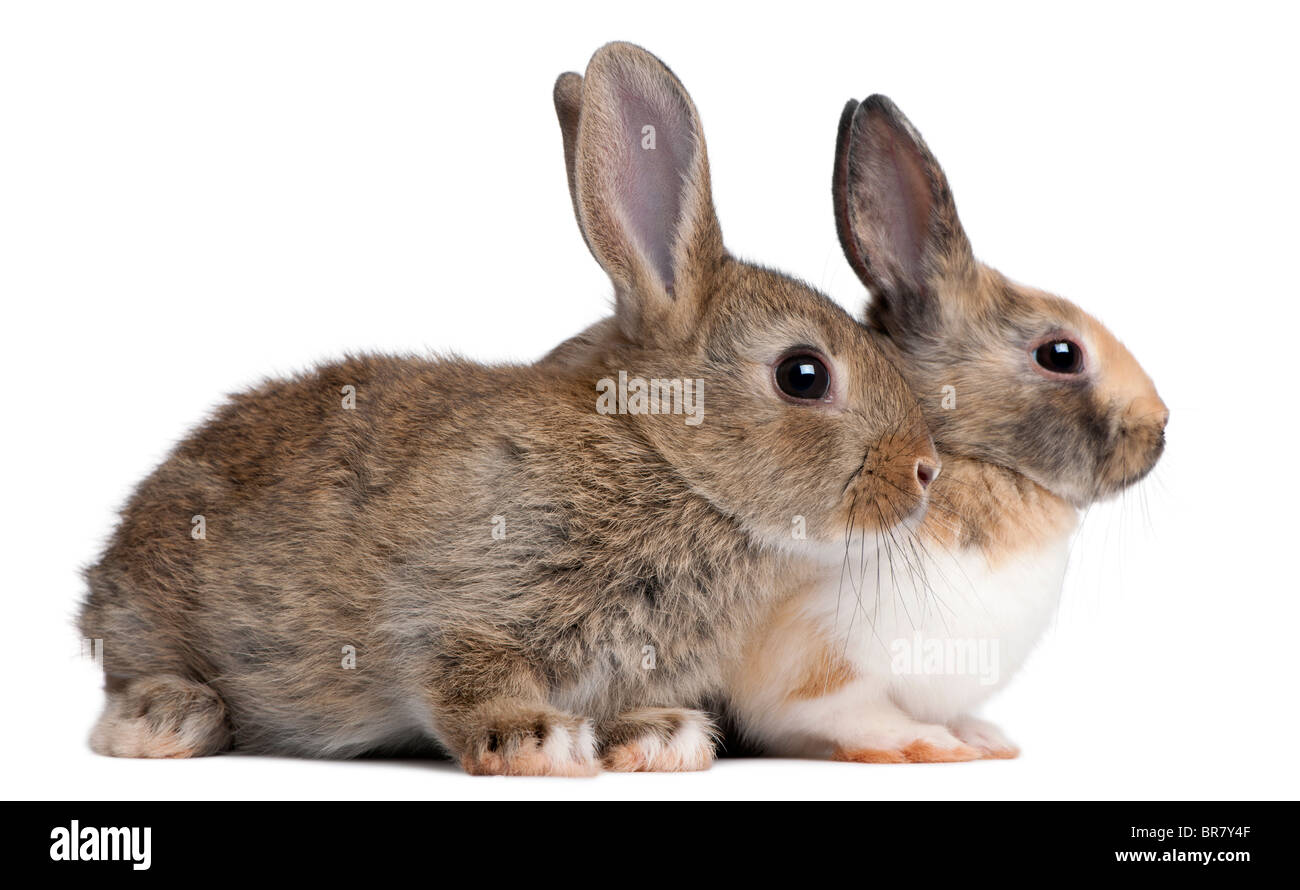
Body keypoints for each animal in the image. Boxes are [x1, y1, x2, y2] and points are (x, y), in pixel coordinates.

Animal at [78, 43, 940, 776]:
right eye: (803, 374)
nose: (925, 470)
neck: (661, 456)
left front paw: (658, 737)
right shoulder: (459, 600)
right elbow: (464, 674)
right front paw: (537, 739)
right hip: (155, 616)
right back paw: (167, 719)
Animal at [549, 88, 1167, 762]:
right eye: (1060, 354)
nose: (1160, 430)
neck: (965, 454)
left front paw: (983, 737)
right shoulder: (818, 662)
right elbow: (848, 713)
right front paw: (927, 743)